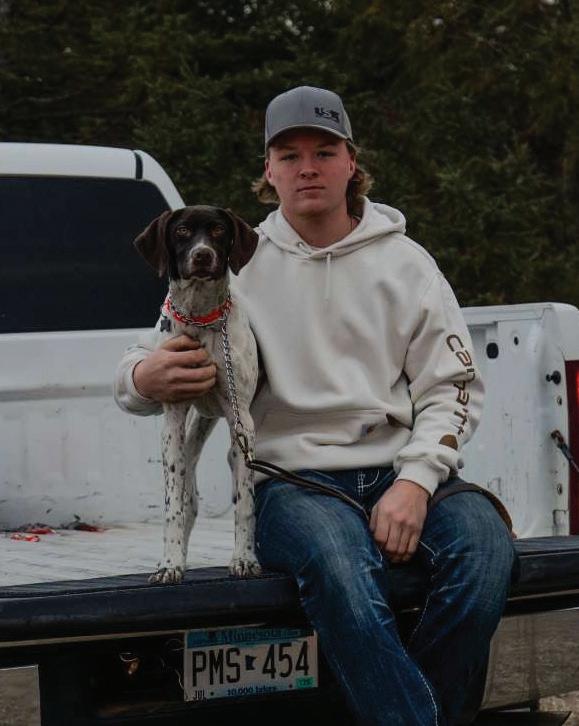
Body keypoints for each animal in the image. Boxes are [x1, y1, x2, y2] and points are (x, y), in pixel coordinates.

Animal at [133, 205, 261, 584]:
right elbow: (173, 507)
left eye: (219, 230)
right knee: (187, 501)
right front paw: (170, 564)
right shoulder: (173, 420)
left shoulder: (242, 422)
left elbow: (245, 504)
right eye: (182, 231)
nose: (202, 255)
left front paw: (244, 559)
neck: (200, 319)